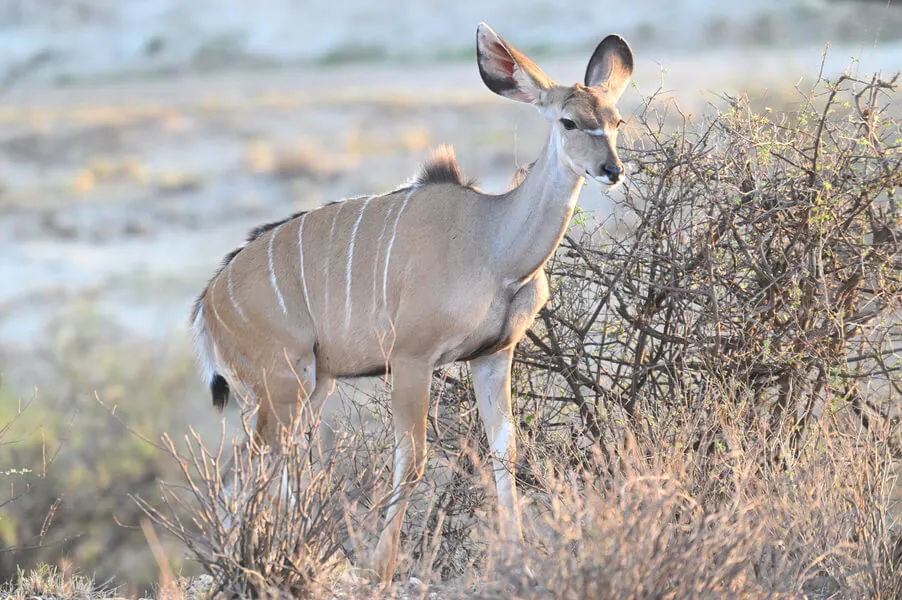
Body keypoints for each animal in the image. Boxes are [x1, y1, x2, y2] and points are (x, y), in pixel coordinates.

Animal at [189, 23, 636, 580]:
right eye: (568, 120)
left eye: (616, 120)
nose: (612, 169)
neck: (493, 246)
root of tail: (208, 302)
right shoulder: (412, 357)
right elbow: (413, 458)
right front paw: (380, 567)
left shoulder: (493, 356)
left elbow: (503, 451)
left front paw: (517, 558)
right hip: (283, 382)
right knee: (251, 469)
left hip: (313, 382)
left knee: (258, 466)